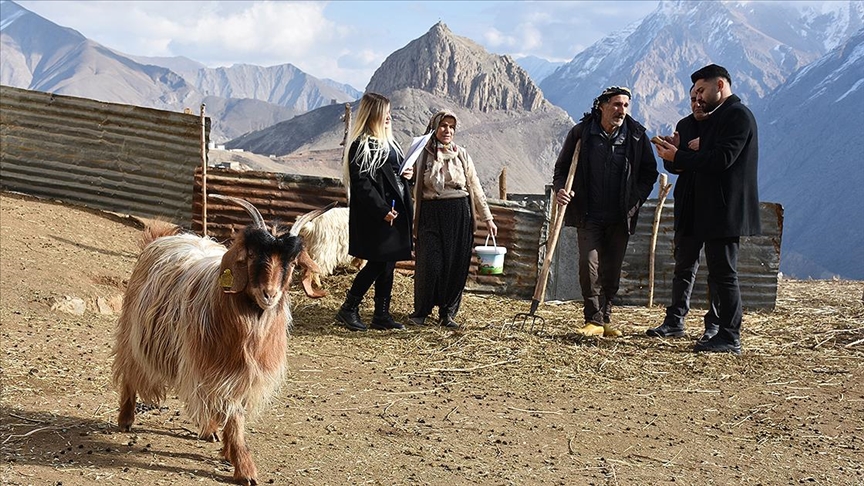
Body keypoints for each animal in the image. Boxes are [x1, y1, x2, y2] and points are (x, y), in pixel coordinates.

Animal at [113, 195, 326, 486]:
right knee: (130, 372)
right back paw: (126, 418)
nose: (269, 294)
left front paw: (228, 451)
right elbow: (233, 416)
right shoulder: (215, 368)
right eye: (250, 256)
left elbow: (233, 415)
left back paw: (210, 430)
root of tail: (162, 238)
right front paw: (245, 469)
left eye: (292, 263)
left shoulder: (243, 375)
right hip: (133, 333)